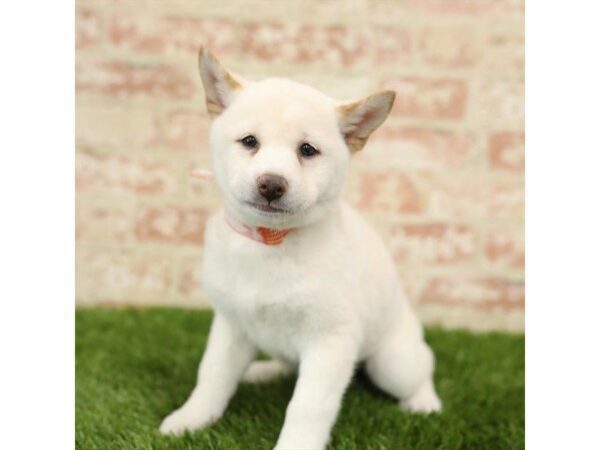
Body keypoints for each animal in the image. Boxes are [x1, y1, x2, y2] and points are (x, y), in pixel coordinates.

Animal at [159, 48, 440, 450]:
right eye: (249, 141)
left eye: (307, 150)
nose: (271, 184)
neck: (269, 243)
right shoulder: (231, 324)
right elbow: (211, 375)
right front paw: (191, 418)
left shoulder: (330, 341)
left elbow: (307, 407)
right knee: (286, 364)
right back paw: (260, 371)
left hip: (392, 362)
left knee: (421, 370)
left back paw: (425, 402)